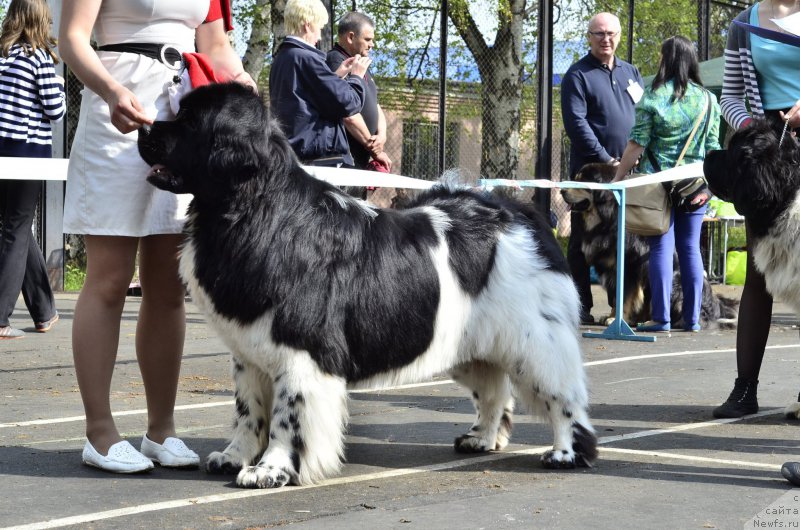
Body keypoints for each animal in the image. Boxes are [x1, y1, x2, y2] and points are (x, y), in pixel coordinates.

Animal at [138, 80, 596, 488]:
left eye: (189, 122)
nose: (143, 127)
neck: (255, 208)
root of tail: (518, 213)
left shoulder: (302, 353)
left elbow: (288, 416)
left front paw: (271, 470)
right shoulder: (249, 354)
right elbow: (248, 411)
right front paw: (234, 457)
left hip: (534, 342)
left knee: (563, 398)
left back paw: (565, 453)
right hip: (468, 342)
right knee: (494, 390)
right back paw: (481, 438)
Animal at [564, 164, 736, 330]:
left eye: (581, 181)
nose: (562, 190)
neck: (607, 218)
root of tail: (714, 307)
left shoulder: (629, 267)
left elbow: (625, 297)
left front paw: (617, 319)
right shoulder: (612, 268)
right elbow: (616, 297)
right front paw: (613, 316)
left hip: (675, 282)